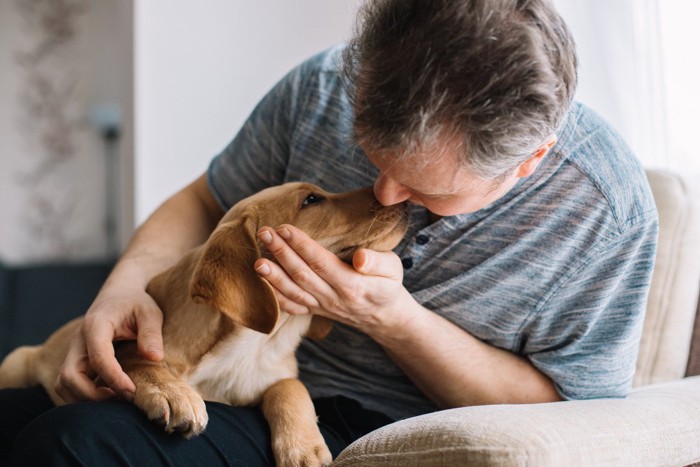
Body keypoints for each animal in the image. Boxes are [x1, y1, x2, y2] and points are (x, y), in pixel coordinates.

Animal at [0, 183, 408, 467]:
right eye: (311, 200)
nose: (401, 201)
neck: (253, 345)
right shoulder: (118, 354)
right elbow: (138, 361)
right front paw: (172, 394)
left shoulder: (271, 378)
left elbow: (291, 387)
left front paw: (304, 447)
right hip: (17, 362)